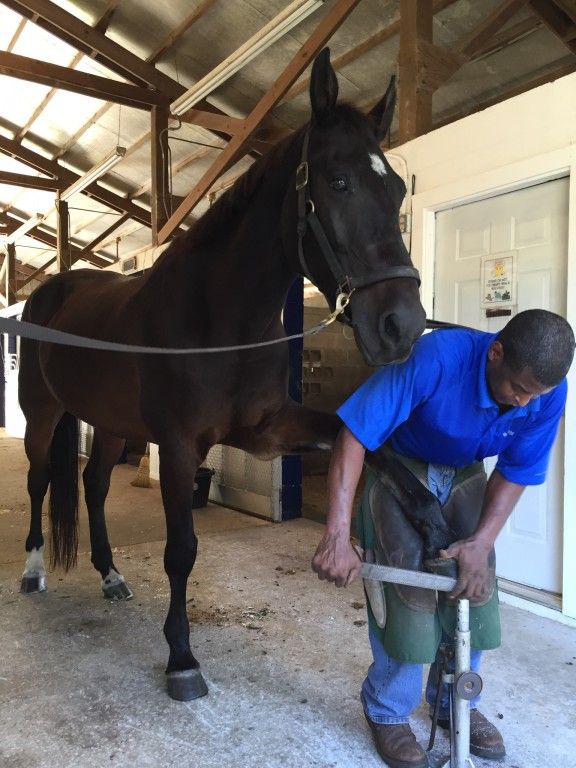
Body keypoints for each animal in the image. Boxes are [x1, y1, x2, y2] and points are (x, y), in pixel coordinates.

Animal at [18, 49, 426, 704]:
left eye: (393, 189)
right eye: (338, 182)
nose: (402, 326)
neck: (219, 319)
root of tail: (50, 291)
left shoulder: (267, 430)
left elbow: (366, 441)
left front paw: (430, 515)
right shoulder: (181, 445)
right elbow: (181, 550)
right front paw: (181, 657)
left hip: (108, 425)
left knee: (94, 486)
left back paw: (110, 575)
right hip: (43, 412)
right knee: (38, 482)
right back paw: (33, 571)